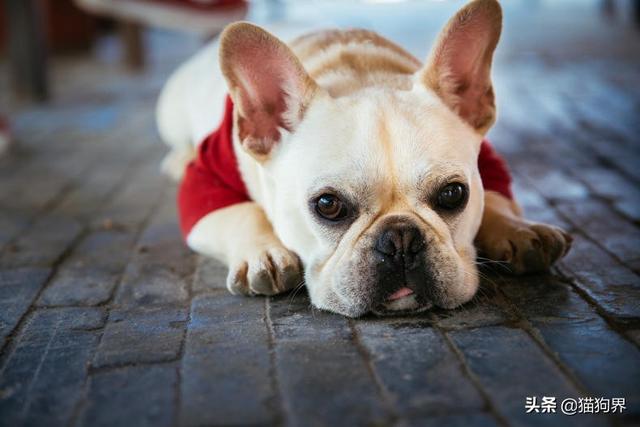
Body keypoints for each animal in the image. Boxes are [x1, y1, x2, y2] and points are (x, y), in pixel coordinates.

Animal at [158, 0, 572, 316]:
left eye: (454, 194)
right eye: (328, 205)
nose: (401, 240)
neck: (360, 73)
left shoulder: (488, 160)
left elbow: (498, 199)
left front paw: (518, 229)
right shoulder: (208, 176)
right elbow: (238, 212)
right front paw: (264, 252)